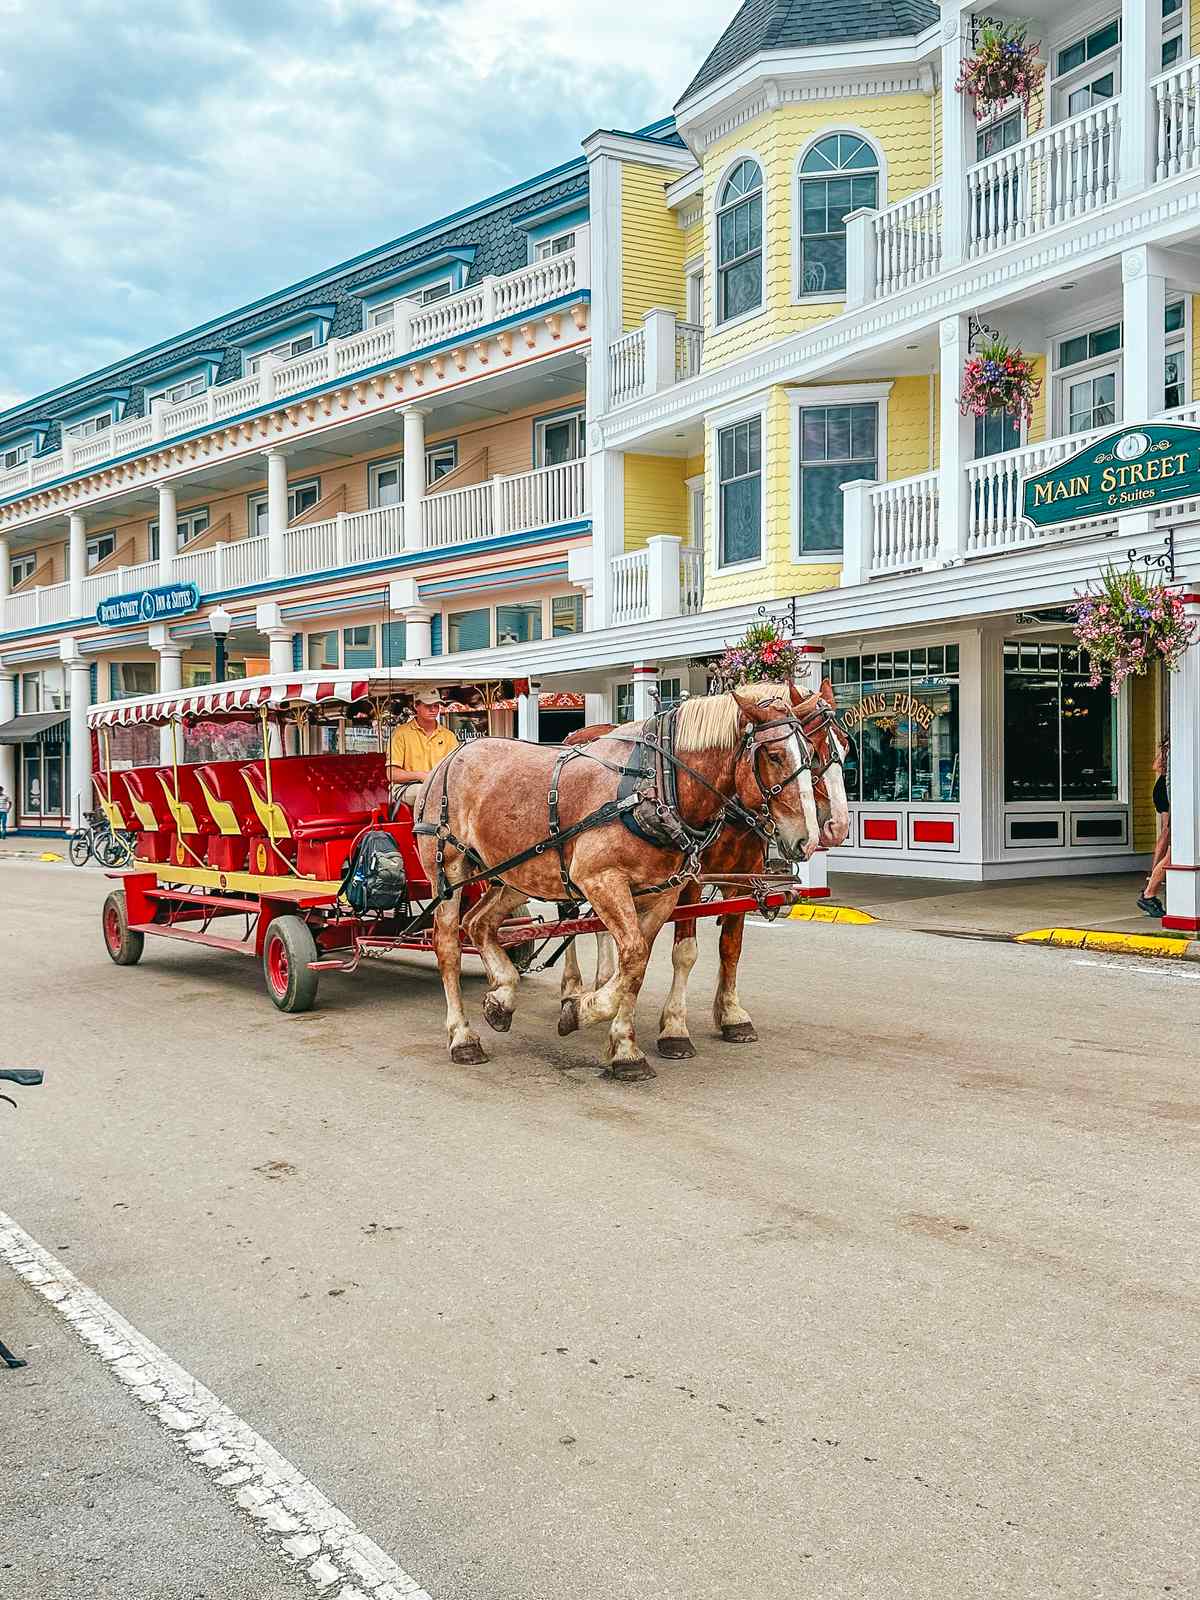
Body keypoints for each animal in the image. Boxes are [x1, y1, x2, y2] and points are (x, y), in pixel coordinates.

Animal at [412, 681, 819, 1081]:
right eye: (774, 755)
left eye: (812, 754)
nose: (809, 839)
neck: (656, 785)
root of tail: (450, 758)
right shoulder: (601, 880)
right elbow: (633, 957)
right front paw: (580, 1011)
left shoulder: (662, 893)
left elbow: (635, 966)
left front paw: (623, 1048)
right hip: (448, 872)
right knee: (448, 945)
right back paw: (462, 1037)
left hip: (513, 875)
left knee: (478, 924)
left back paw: (502, 996)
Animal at [563, 681, 851, 1056]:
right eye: (813, 754)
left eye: (845, 748)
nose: (836, 828)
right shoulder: (689, 881)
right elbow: (685, 952)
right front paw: (674, 1027)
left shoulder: (743, 878)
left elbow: (731, 947)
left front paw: (731, 1014)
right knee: (568, 917)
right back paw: (572, 987)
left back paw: (603, 980)